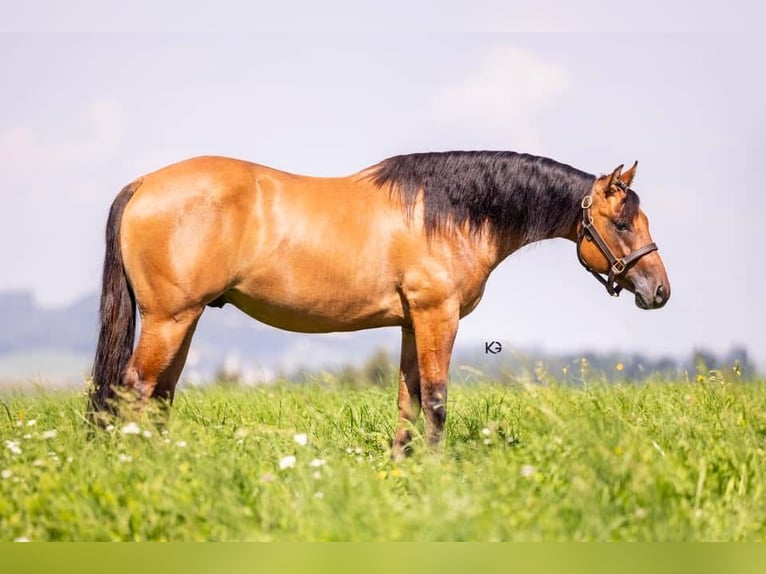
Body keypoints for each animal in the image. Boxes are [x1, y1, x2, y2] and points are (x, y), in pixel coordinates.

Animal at [90, 151, 670, 457]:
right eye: (623, 223)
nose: (659, 291)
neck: (448, 213)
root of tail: (145, 184)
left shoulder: (413, 324)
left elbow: (407, 398)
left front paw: (401, 463)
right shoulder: (438, 316)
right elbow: (435, 398)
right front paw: (436, 470)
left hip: (182, 323)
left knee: (160, 395)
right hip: (169, 319)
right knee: (135, 390)